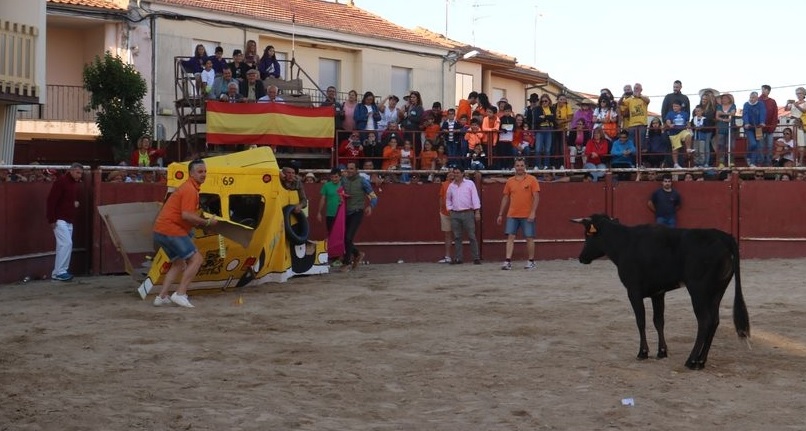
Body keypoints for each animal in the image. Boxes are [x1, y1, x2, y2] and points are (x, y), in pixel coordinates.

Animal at [576, 214, 752, 370]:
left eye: (587, 234)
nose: (581, 257)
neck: (624, 243)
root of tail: (724, 237)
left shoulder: (633, 291)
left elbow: (641, 320)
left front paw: (643, 352)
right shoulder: (658, 293)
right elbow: (658, 321)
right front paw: (662, 352)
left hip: (698, 291)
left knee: (704, 321)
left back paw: (691, 361)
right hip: (717, 292)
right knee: (714, 321)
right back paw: (701, 361)